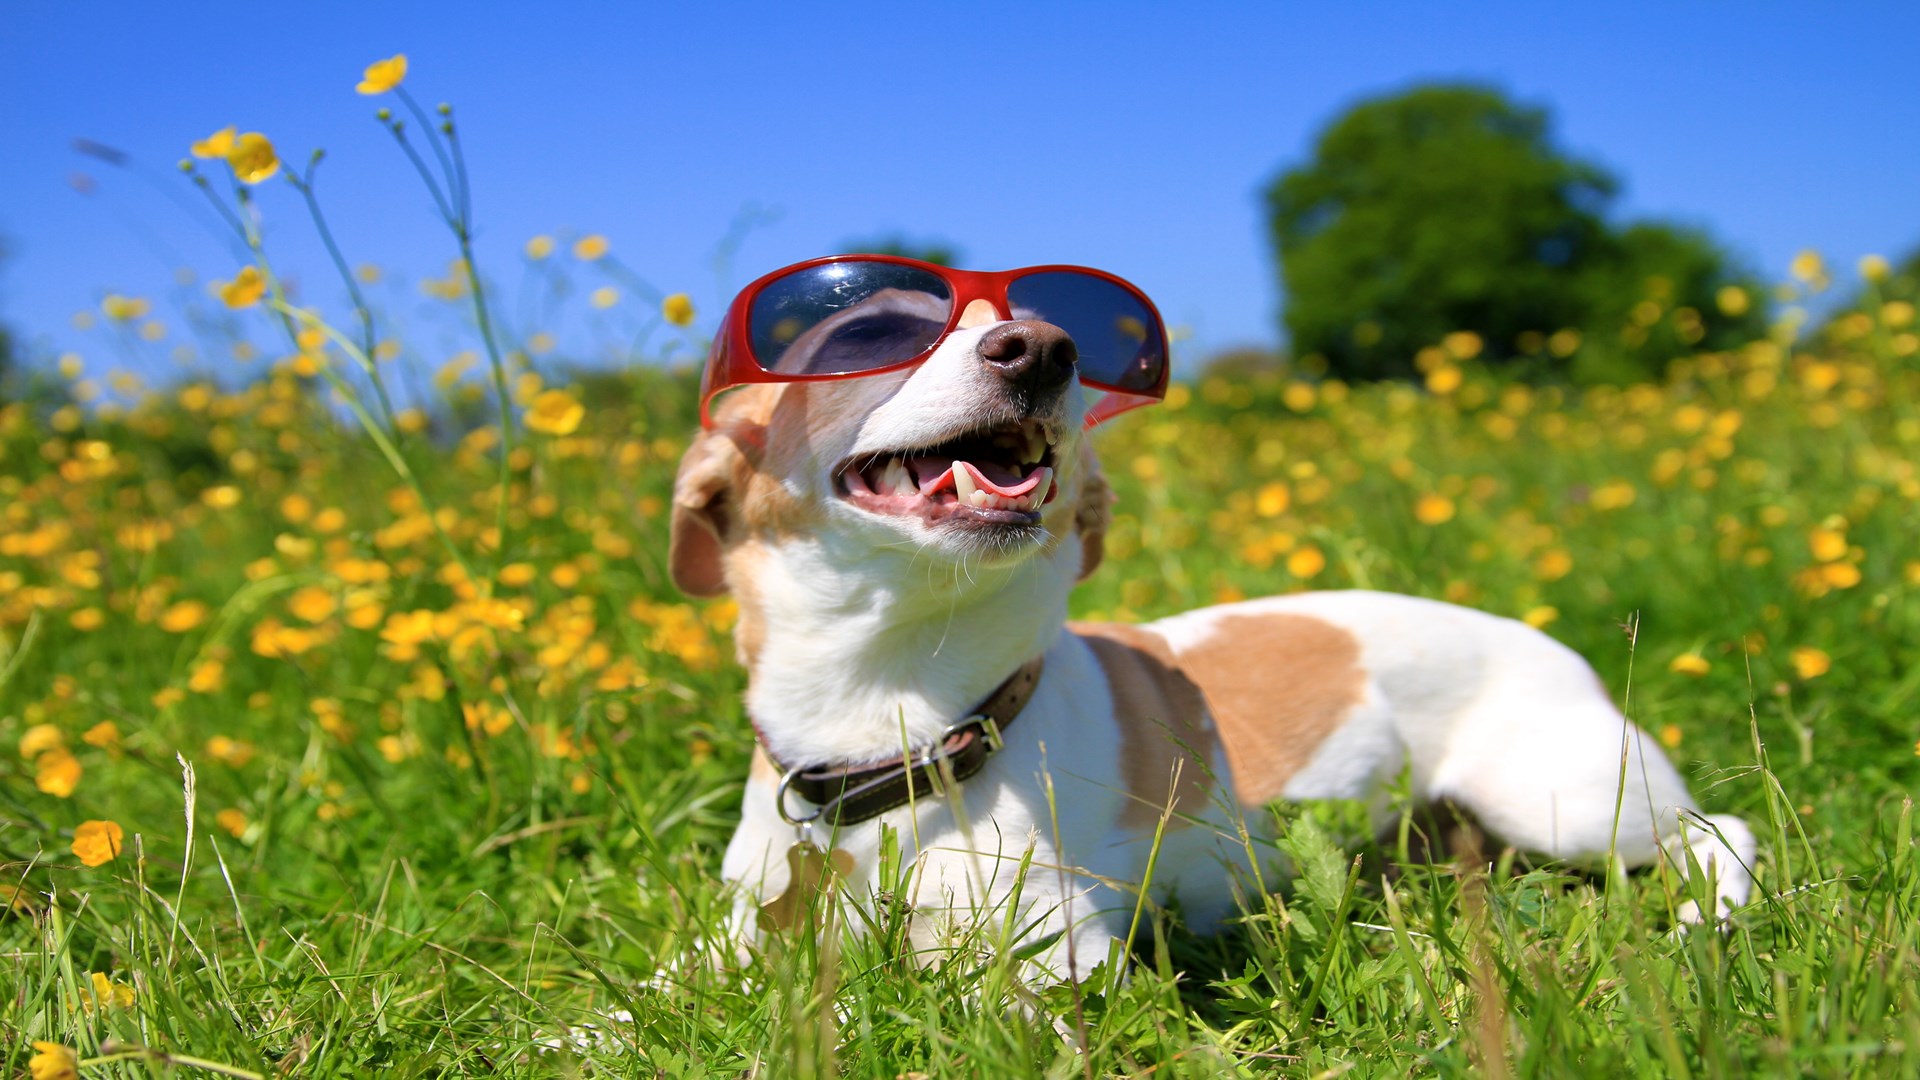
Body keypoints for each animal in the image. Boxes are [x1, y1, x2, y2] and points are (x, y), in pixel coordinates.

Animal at [672, 263, 1758, 976]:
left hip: (1566, 803)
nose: (1046, 351)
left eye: (1056, 332)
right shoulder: (726, 939)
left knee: (1722, 828)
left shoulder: (1046, 956)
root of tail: (1548, 639)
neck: (889, 718)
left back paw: (1707, 918)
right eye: (862, 338)